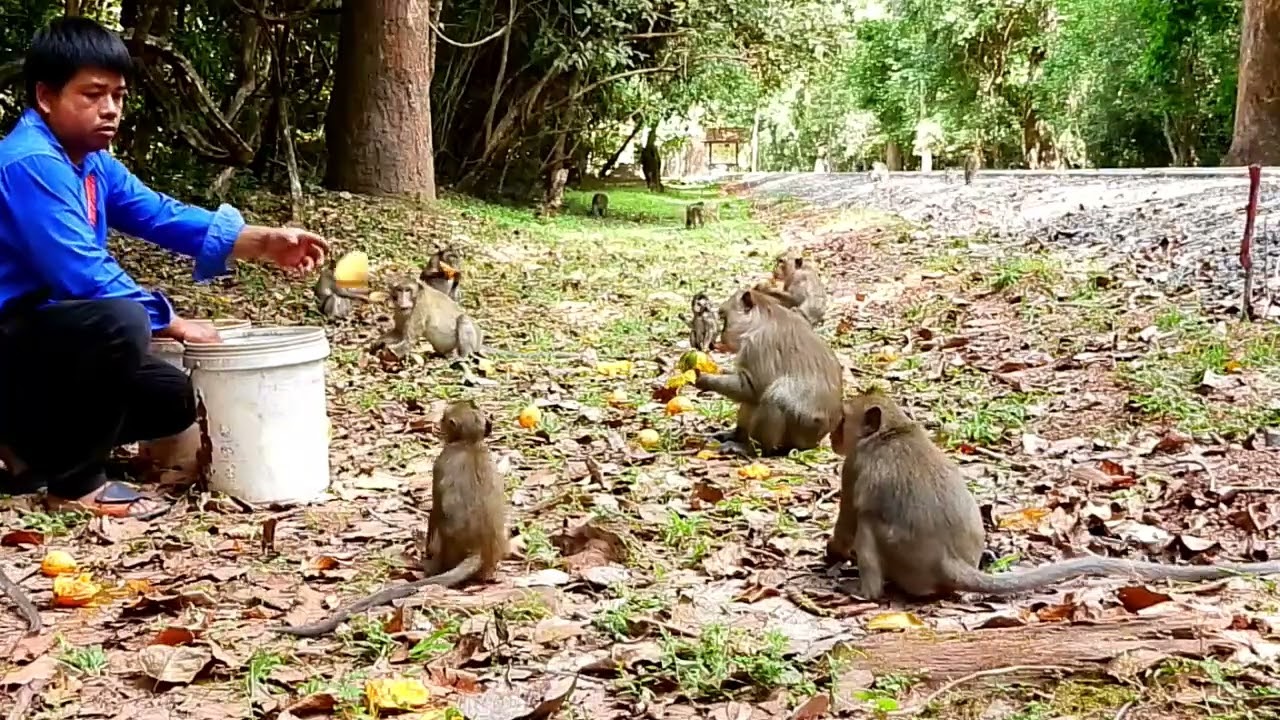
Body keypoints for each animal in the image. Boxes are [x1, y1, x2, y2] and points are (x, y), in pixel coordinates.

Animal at [276, 401, 507, 637]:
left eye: (444, 418)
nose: (438, 423)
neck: (469, 444)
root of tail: (477, 551)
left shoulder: (440, 463)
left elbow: (435, 510)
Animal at [693, 287, 843, 458]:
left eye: (724, 320)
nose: (721, 339)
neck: (762, 319)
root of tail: (817, 441)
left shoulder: (757, 346)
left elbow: (751, 389)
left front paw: (704, 379)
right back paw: (737, 435)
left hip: (802, 430)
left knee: (778, 396)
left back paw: (751, 448)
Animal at [826, 390, 1280, 600]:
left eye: (842, 422)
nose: (832, 437)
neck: (892, 431)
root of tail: (951, 562)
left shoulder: (854, 468)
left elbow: (848, 520)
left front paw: (831, 557)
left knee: (868, 525)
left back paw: (863, 592)